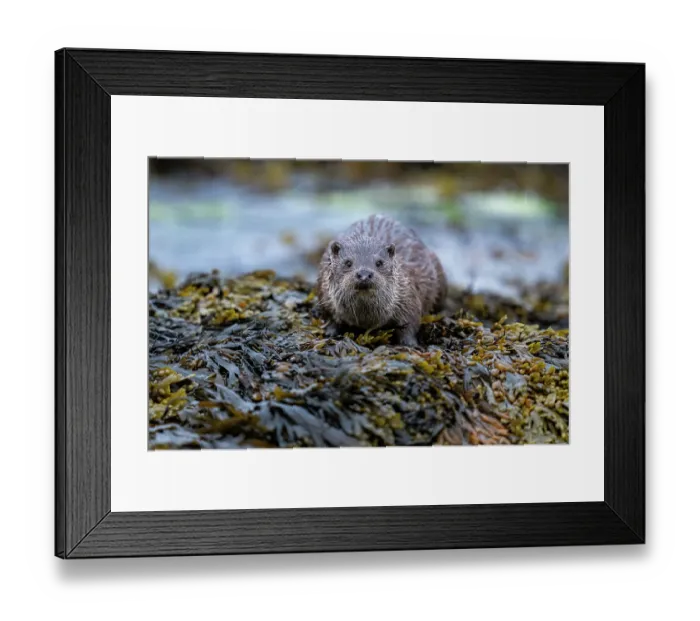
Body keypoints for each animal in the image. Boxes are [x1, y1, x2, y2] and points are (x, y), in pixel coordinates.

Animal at [316, 214, 447, 346]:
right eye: (348, 262)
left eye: (379, 262)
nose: (364, 274)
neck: (366, 318)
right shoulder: (326, 297)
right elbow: (331, 317)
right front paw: (330, 332)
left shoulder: (408, 297)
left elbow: (410, 323)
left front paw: (409, 342)